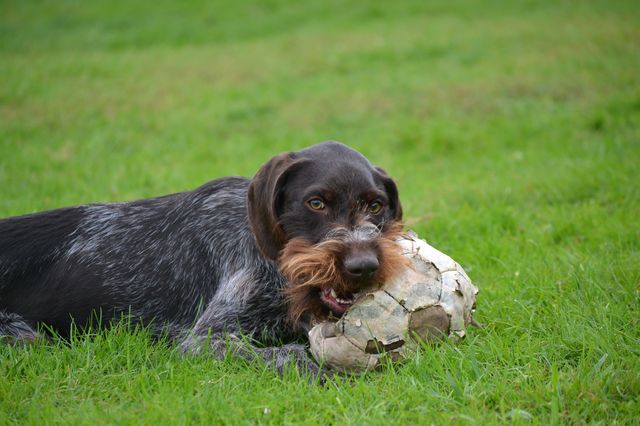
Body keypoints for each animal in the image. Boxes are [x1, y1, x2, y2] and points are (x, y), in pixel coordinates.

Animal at [0, 141, 402, 374]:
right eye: (316, 203)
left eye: (376, 205)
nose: (363, 266)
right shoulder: (205, 339)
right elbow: (289, 354)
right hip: (23, 337)